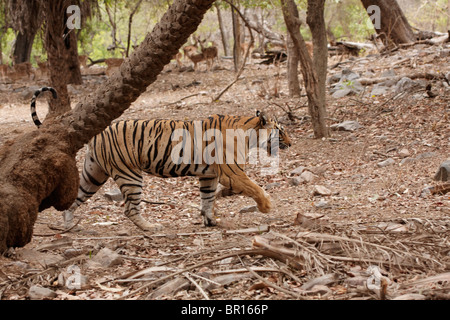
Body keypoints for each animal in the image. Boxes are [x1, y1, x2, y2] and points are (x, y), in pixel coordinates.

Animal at [31, 86, 292, 231]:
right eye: (280, 131)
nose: (291, 143)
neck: (249, 133)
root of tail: (98, 133)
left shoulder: (209, 176)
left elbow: (207, 200)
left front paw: (210, 221)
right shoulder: (232, 173)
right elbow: (254, 187)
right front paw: (267, 206)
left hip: (93, 174)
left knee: (74, 199)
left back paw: (69, 227)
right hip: (130, 174)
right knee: (130, 209)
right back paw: (151, 227)